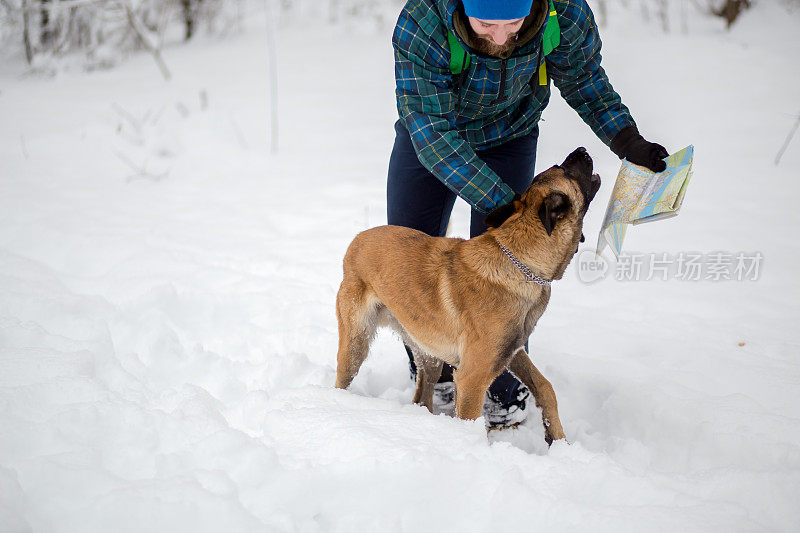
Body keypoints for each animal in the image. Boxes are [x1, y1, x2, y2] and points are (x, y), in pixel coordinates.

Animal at [332, 148, 600, 442]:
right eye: (566, 171)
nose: (582, 151)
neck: (520, 261)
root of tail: (358, 239)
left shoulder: (511, 351)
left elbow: (545, 386)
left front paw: (557, 438)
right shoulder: (473, 377)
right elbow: (470, 418)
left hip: (430, 356)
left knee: (422, 396)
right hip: (356, 344)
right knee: (343, 379)